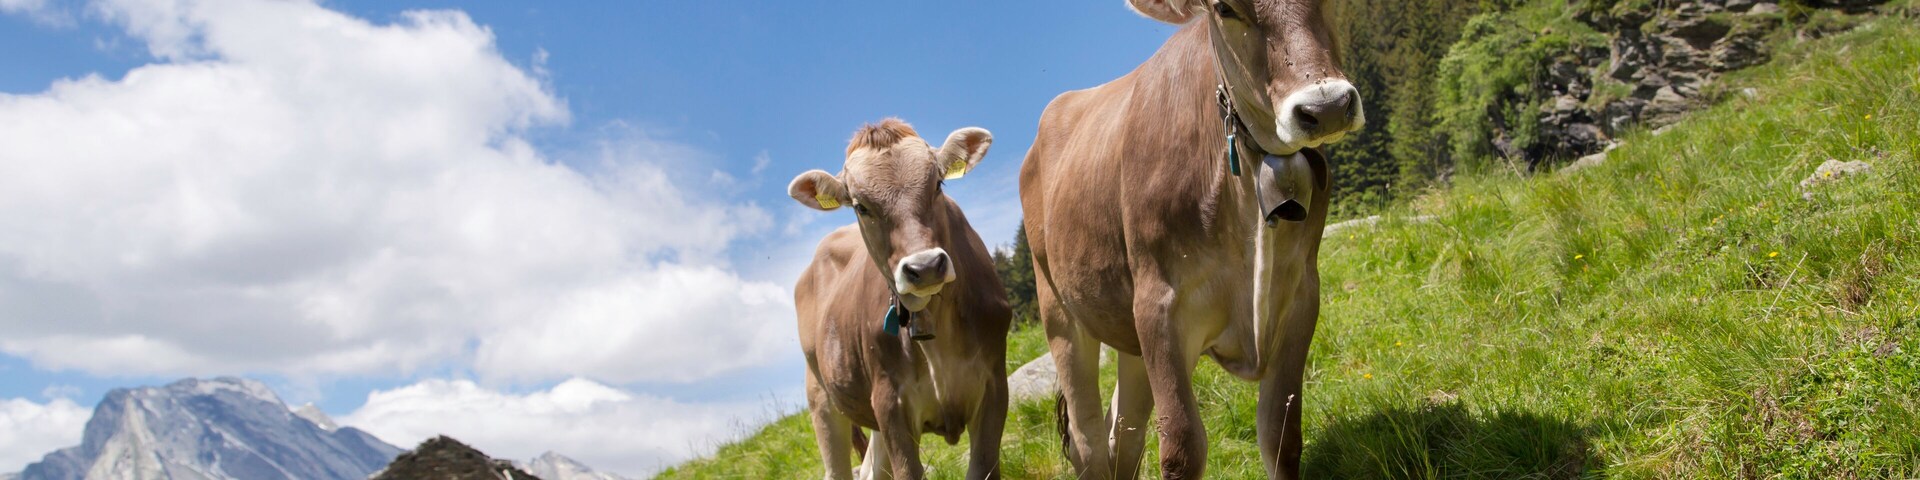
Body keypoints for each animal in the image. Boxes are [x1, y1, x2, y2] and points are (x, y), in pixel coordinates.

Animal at [790, 119, 1012, 480]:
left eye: (937, 184)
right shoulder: (890, 402)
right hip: (821, 396)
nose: (925, 267)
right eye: (860, 206)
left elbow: (983, 466)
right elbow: (907, 471)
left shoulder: (994, 386)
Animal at [1018, 0, 1363, 478]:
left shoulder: (1301, 293)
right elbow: (1182, 447)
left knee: (1122, 434)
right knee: (1088, 442)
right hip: (1059, 312)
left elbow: (1281, 434)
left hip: (1128, 334)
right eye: (1224, 8)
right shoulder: (1158, 306)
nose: (1326, 106)